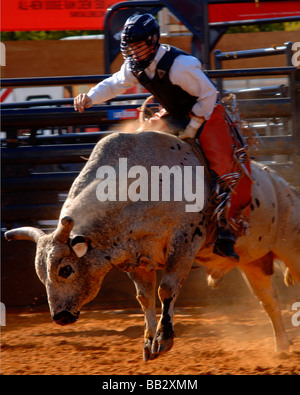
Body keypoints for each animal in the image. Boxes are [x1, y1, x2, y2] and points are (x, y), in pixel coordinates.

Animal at [4, 131, 300, 362]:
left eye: (65, 269)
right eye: (41, 276)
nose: (60, 316)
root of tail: (284, 186)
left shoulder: (184, 242)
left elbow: (166, 289)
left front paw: (164, 338)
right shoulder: (133, 258)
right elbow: (144, 297)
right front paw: (148, 343)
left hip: (291, 246)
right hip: (253, 262)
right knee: (269, 300)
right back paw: (281, 345)